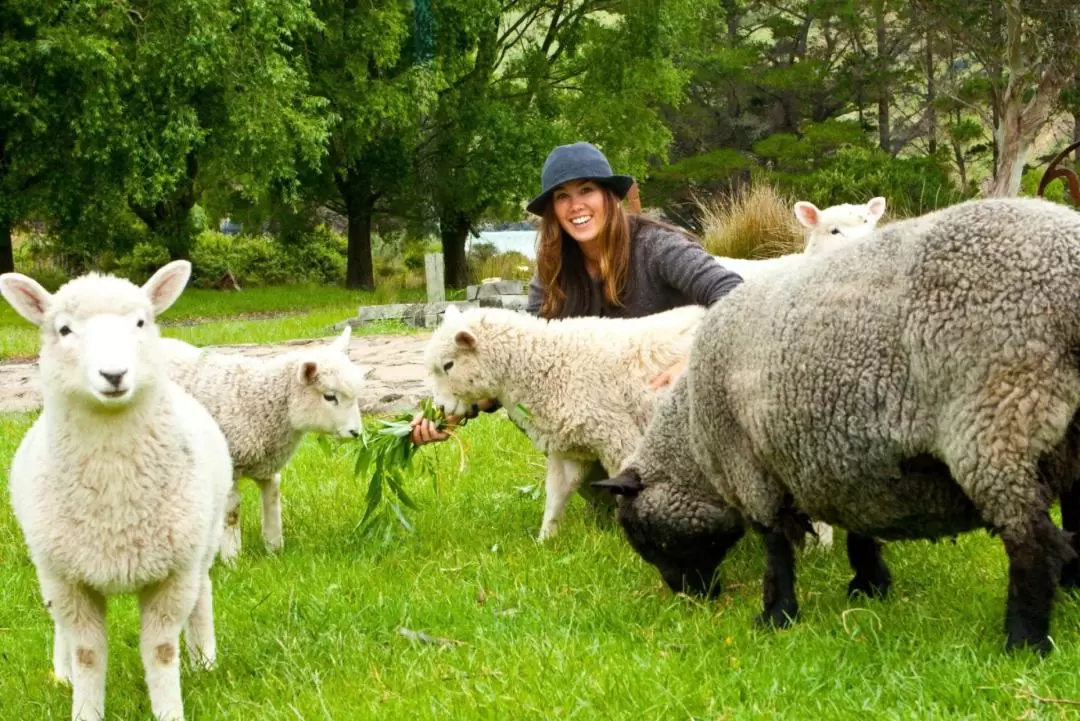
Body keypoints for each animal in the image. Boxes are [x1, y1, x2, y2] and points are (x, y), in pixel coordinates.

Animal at [2, 262, 232, 721]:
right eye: (64, 329)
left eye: (141, 322)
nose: (113, 375)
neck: (116, 505)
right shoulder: (67, 578)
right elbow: (88, 653)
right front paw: (84, 708)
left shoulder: (173, 574)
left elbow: (161, 651)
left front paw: (170, 711)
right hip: (52, 564)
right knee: (60, 626)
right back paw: (62, 674)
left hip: (203, 540)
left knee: (203, 592)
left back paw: (204, 661)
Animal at [157, 325, 365, 561]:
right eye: (329, 397)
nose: (356, 432)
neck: (257, 402)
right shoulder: (232, 463)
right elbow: (232, 513)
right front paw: (232, 558)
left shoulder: (268, 467)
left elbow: (273, 501)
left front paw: (274, 549)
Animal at [421, 300, 708, 539]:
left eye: (448, 365)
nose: (440, 408)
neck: (548, 363)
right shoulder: (568, 450)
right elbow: (556, 495)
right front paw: (545, 540)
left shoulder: (617, 436)